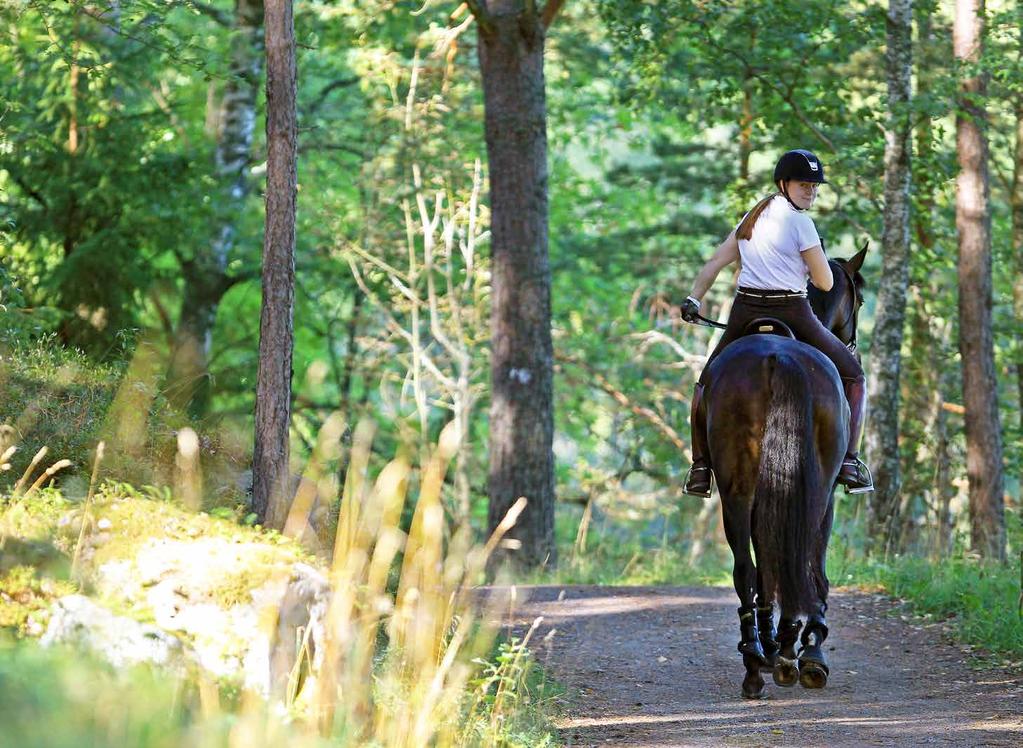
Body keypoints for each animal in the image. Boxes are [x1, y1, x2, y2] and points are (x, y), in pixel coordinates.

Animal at [707, 248, 867, 699]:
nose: (853, 345)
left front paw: (777, 643)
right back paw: (792, 652)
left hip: (739, 490)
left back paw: (757, 658)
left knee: (749, 568)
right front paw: (800, 646)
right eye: (861, 301)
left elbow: (768, 563)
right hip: (812, 490)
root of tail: (776, 357)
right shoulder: (824, 496)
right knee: (798, 561)